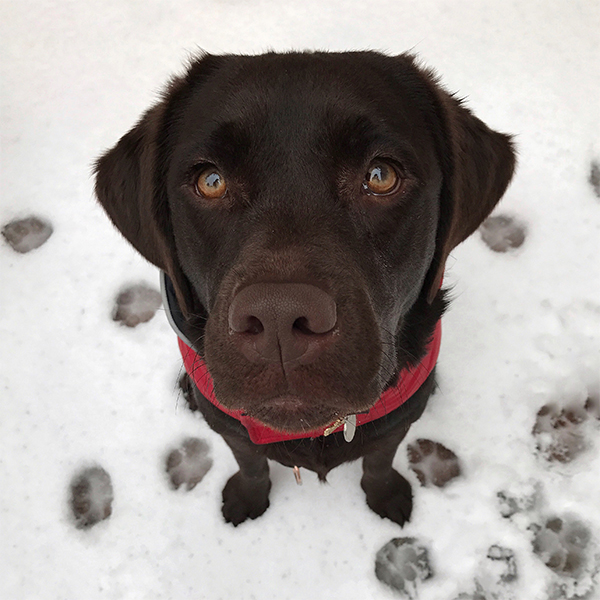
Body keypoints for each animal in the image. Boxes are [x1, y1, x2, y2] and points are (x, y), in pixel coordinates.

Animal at [95, 50, 516, 524]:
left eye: (380, 175)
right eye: (211, 181)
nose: (278, 317)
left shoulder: (398, 421)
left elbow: (378, 459)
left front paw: (386, 497)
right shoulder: (234, 430)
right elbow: (251, 462)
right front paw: (246, 500)